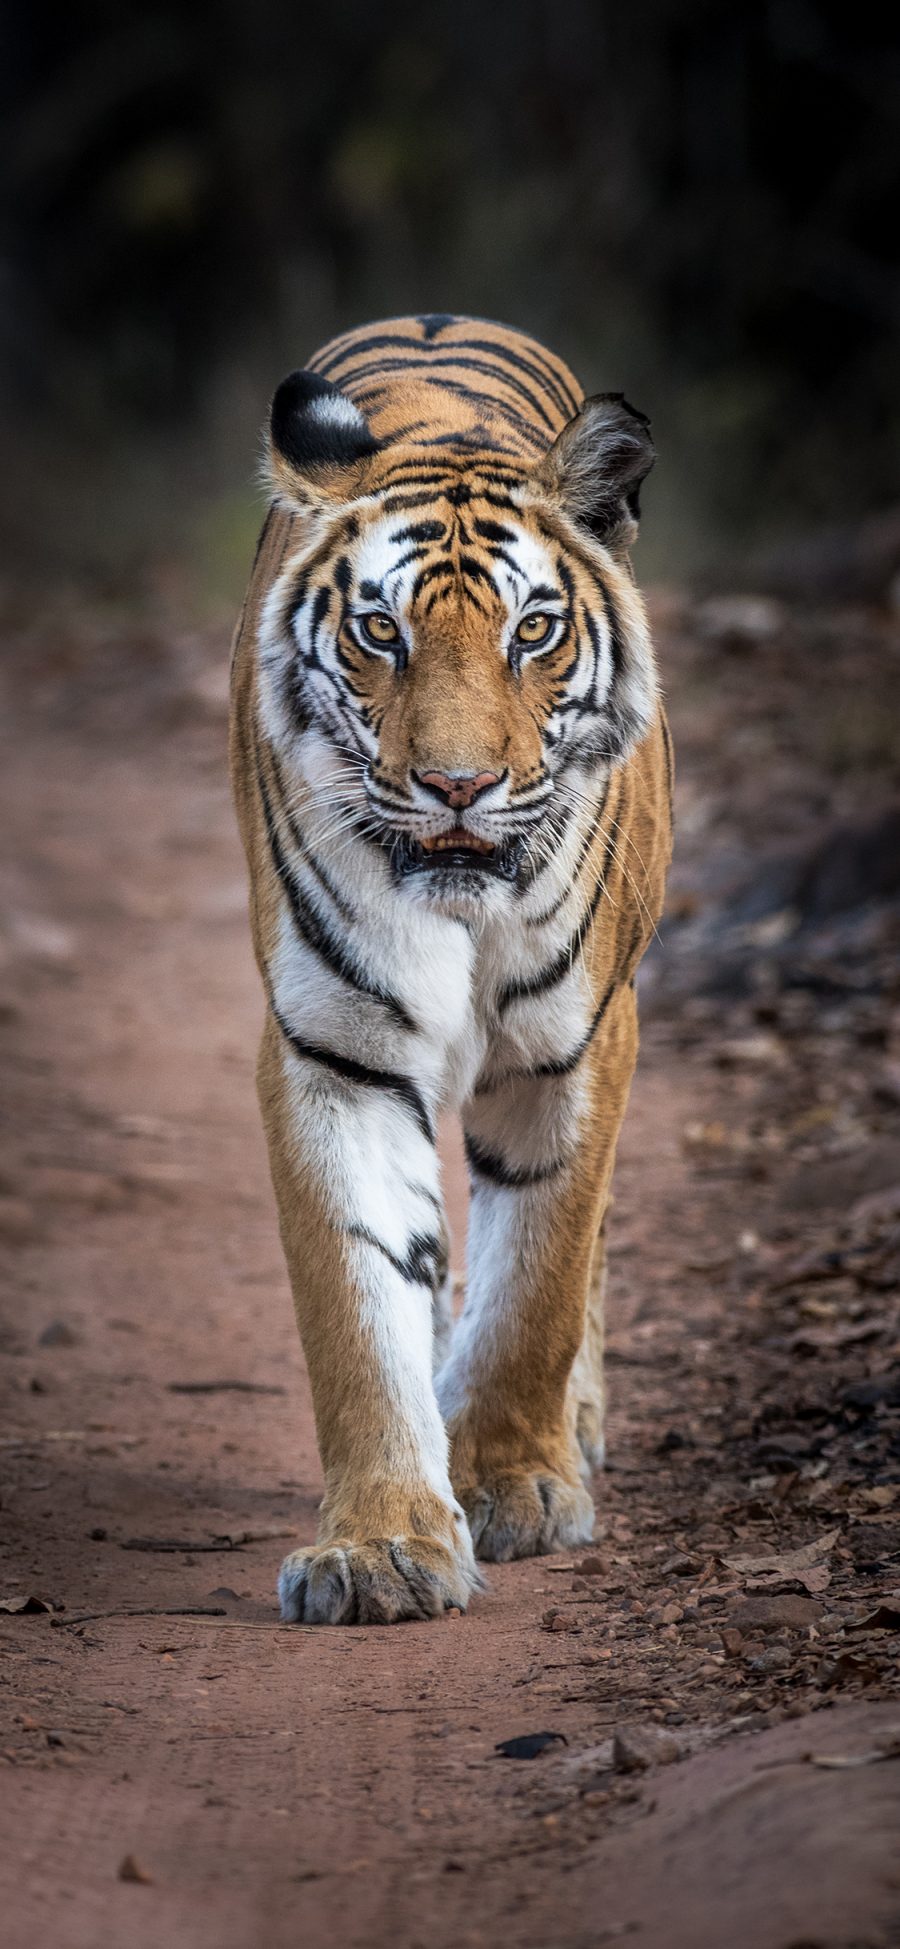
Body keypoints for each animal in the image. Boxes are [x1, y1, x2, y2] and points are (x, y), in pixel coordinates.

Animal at [228, 311, 670, 1621]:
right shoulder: (330, 1052)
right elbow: (359, 1299)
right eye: (382, 631)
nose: (459, 787)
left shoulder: (581, 1043)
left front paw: (518, 1485)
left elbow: (541, 1278)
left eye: (534, 631)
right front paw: (381, 1543)